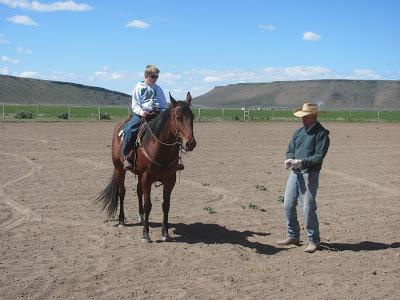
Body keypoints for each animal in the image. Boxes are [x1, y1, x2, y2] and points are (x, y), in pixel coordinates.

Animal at [97, 91, 197, 241]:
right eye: (178, 118)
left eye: (192, 117)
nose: (190, 143)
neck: (160, 149)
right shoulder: (147, 177)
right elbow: (148, 204)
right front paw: (146, 235)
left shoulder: (170, 179)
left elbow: (165, 205)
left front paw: (165, 233)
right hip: (119, 168)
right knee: (122, 192)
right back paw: (121, 221)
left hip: (138, 174)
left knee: (138, 191)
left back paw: (141, 217)